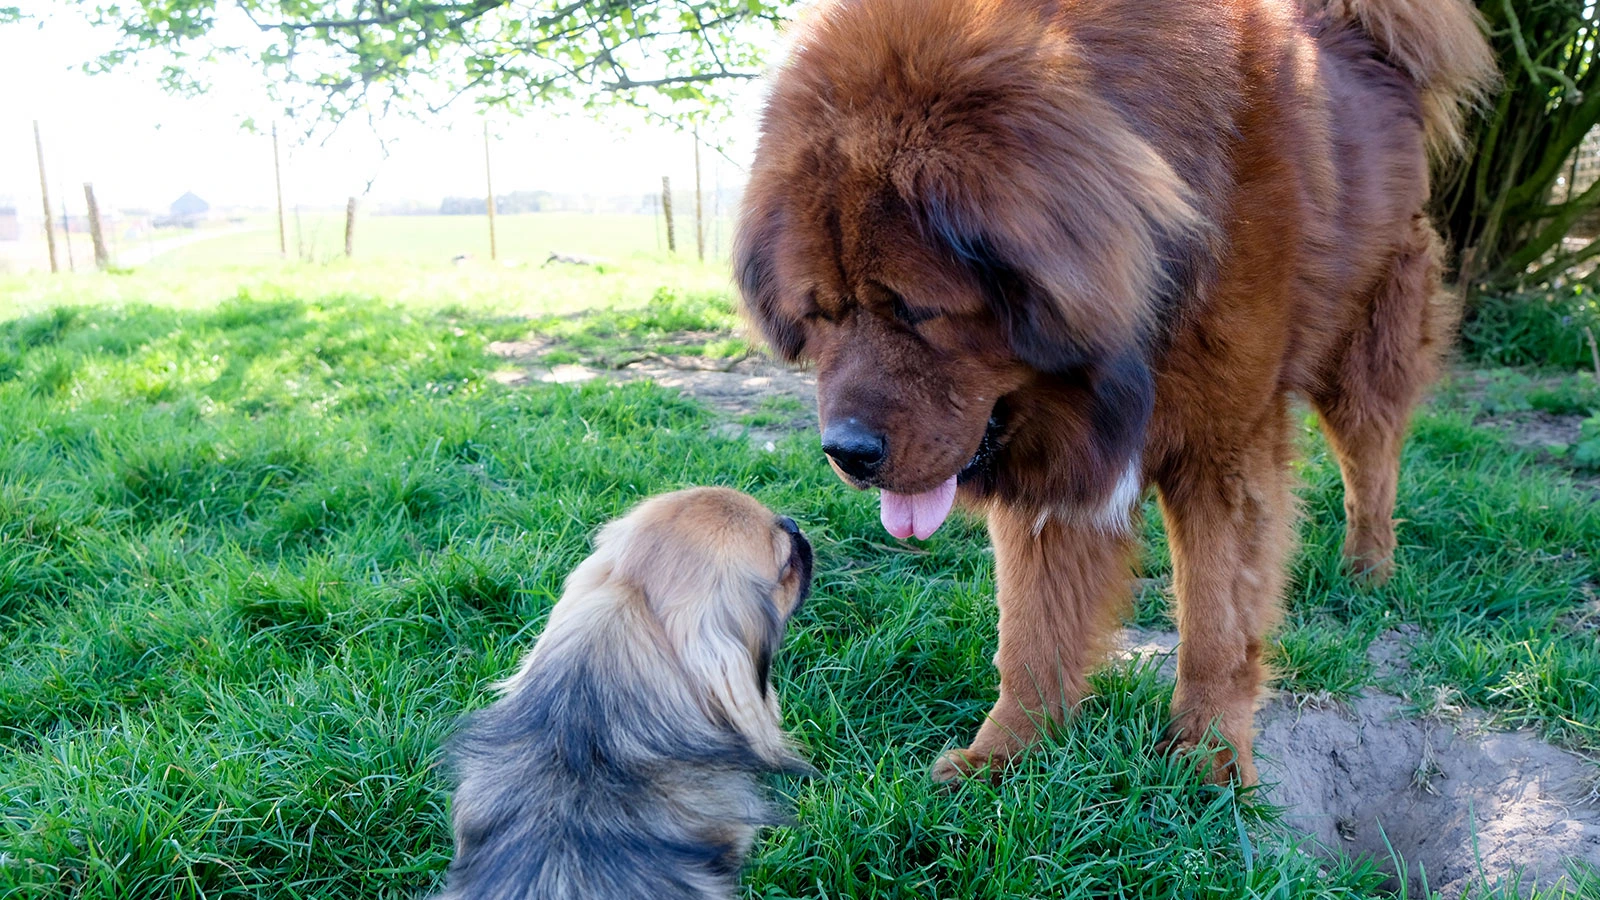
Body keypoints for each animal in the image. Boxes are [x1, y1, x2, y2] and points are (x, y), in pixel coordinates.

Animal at [736, 0, 1497, 781]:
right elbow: (1033, 628)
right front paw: (1005, 756)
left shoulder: (1221, 449)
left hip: (1365, 352)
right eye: (819, 312)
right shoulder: (1054, 461)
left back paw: (1368, 568)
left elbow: (1218, 621)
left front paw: (1210, 760)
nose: (846, 452)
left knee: (1370, 463)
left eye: (916, 309)